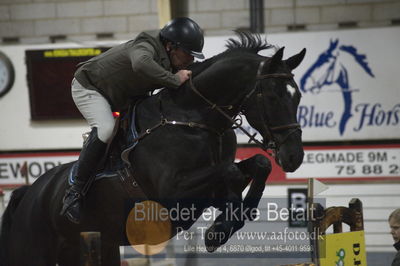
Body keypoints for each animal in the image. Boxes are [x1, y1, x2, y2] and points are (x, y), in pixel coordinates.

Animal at [0, 31, 306, 266]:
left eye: (298, 96)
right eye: (272, 96)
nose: (294, 157)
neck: (193, 117)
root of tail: (29, 194)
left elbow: (258, 165)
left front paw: (231, 222)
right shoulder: (172, 191)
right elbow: (230, 171)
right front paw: (218, 231)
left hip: (97, 248)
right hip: (32, 253)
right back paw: (72, 201)